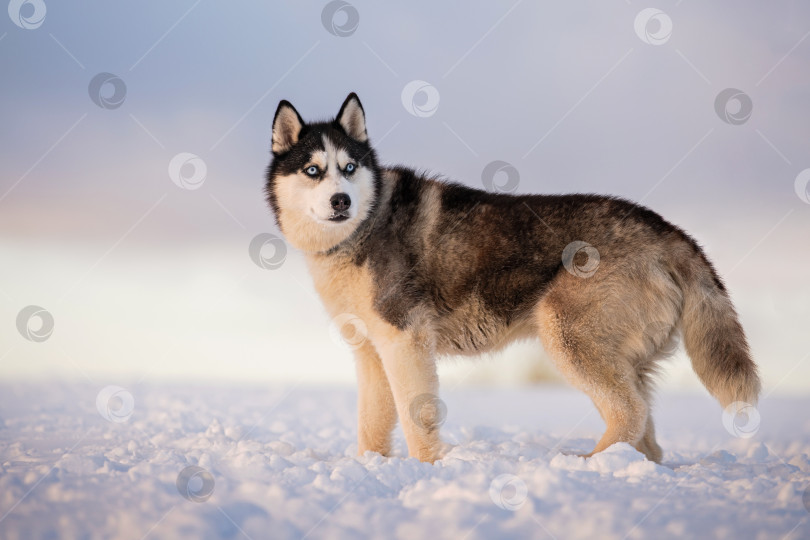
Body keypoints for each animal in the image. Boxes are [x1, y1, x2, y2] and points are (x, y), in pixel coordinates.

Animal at [264, 94, 756, 464]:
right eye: (313, 170)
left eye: (349, 168)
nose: (341, 201)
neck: (361, 229)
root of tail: (667, 229)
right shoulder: (371, 349)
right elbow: (372, 424)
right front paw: (372, 467)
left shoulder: (406, 340)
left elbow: (417, 417)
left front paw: (428, 468)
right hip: (618, 355)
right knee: (647, 433)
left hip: (567, 335)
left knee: (630, 412)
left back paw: (587, 465)